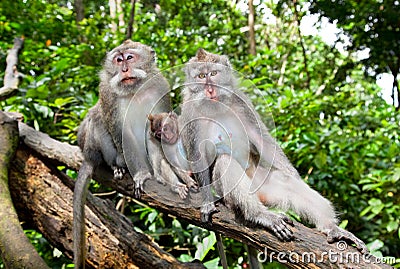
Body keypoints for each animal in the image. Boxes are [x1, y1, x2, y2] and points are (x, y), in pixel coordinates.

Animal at [180, 47, 368, 251]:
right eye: (201, 76)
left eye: (213, 73)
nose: (210, 89)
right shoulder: (190, 114)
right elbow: (197, 155)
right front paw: (206, 200)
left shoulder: (242, 102)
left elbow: (262, 138)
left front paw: (296, 175)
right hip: (228, 195)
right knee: (224, 162)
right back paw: (259, 215)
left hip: (264, 184)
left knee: (287, 182)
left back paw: (332, 228)